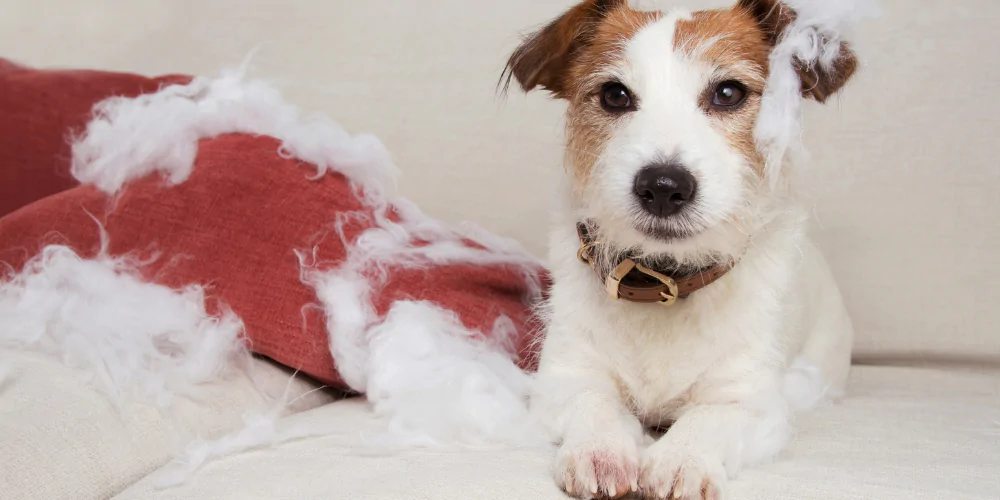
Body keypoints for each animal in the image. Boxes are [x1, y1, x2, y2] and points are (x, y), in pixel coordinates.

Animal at [504, 0, 856, 498]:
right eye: (615, 95)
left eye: (728, 93)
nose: (663, 186)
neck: (663, 282)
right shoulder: (565, 379)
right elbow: (594, 403)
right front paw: (601, 451)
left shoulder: (751, 403)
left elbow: (708, 416)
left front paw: (679, 459)